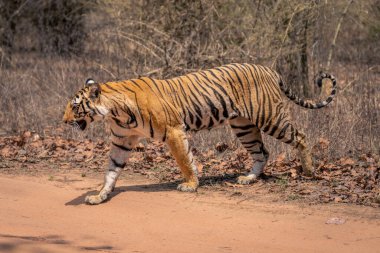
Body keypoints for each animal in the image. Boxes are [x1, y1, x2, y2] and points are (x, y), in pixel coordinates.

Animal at [62, 62, 336, 205]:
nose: (63, 121)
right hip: (244, 126)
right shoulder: (121, 141)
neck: (115, 112)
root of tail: (268, 68)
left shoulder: (173, 131)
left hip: (270, 118)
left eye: (74, 106)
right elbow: (111, 171)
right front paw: (99, 196)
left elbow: (185, 160)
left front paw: (191, 185)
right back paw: (248, 178)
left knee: (300, 137)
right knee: (262, 152)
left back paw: (309, 172)